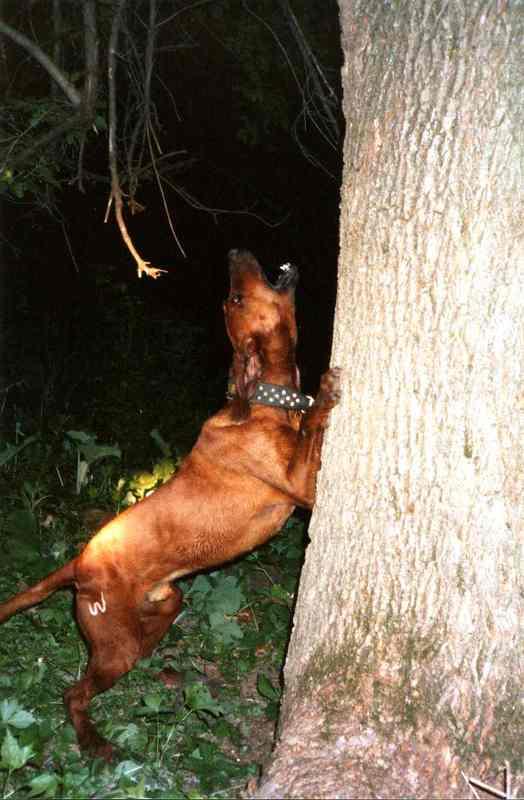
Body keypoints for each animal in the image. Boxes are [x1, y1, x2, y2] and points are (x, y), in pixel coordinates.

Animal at [0, 248, 342, 756]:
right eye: (235, 298)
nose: (234, 252)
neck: (264, 403)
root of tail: (79, 563)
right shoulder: (303, 486)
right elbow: (316, 427)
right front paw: (324, 393)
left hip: (162, 604)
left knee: (143, 642)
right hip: (114, 645)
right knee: (73, 693)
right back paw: (94, 743)